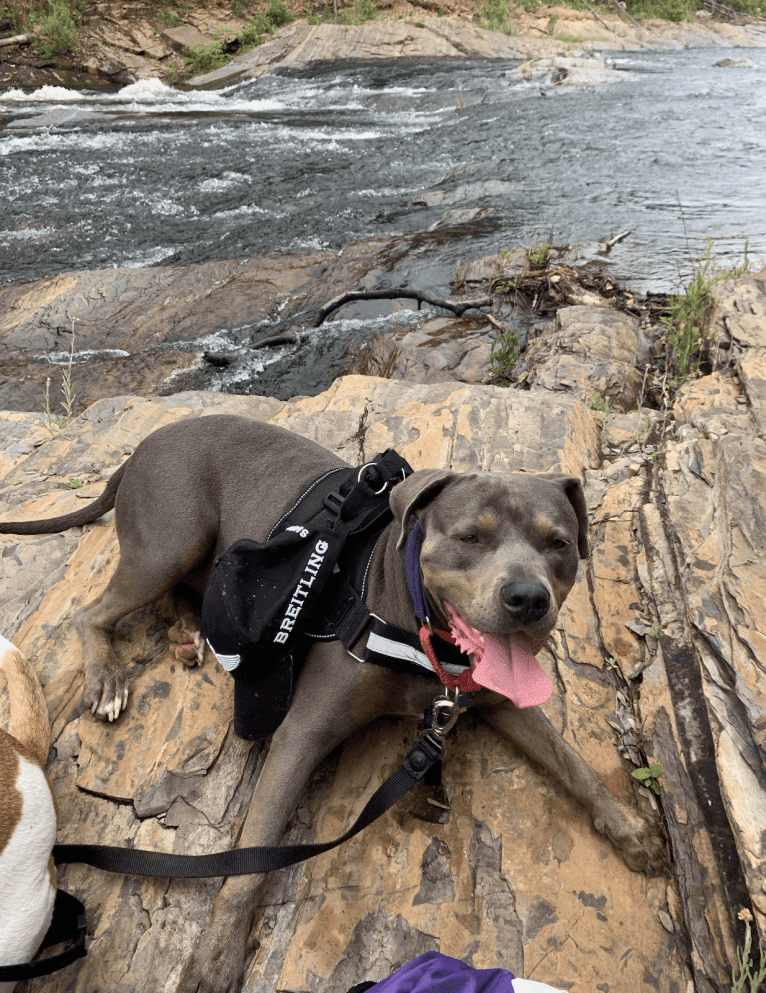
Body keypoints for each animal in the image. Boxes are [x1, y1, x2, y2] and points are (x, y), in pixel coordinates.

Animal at [0, 414, 664, 988]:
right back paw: (107, 678)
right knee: (94, 613)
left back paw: (191, 635)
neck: (417, 626)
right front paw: (213, 961)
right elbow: (250, 863)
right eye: (470, 536)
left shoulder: (497, 699)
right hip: (172, 541)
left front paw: (630, 831)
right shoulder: (302, 735)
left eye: (559, 544)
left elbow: (572, 764)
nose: (528, 598)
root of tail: (144, 445)